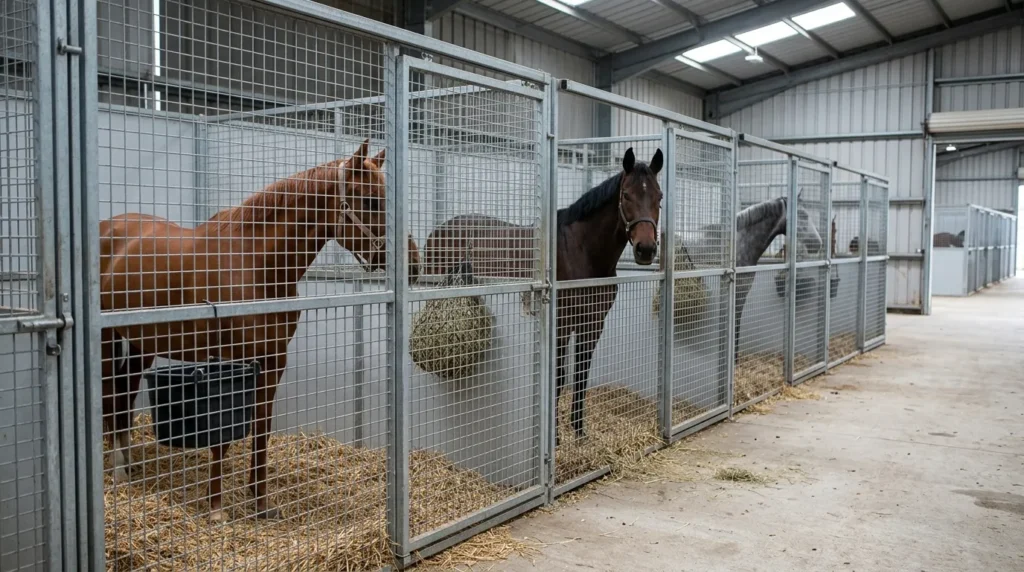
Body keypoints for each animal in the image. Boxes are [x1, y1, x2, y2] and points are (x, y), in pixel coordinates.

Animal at [99, 139, 421, 522]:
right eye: (370, 200)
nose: (414, 263)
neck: (255, 265)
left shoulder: (273, 359)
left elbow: (262, 428)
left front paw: (261, 503)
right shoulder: (225, 363)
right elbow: (221, 437)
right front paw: (217, 510)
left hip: (141, 342)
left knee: (124, 395)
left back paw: (128, 465)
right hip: (106, 341)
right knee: (109, 397)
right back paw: (116, 471)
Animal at [422, 147, 664, 440]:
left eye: (659, 197)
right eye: (626, 195)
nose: (646, 249)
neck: (582, 253)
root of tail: (438, 231)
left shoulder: (593, 323)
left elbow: (581, 373)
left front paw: (579, 431)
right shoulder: (561, 324)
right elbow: (559, 376)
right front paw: (556, 437)